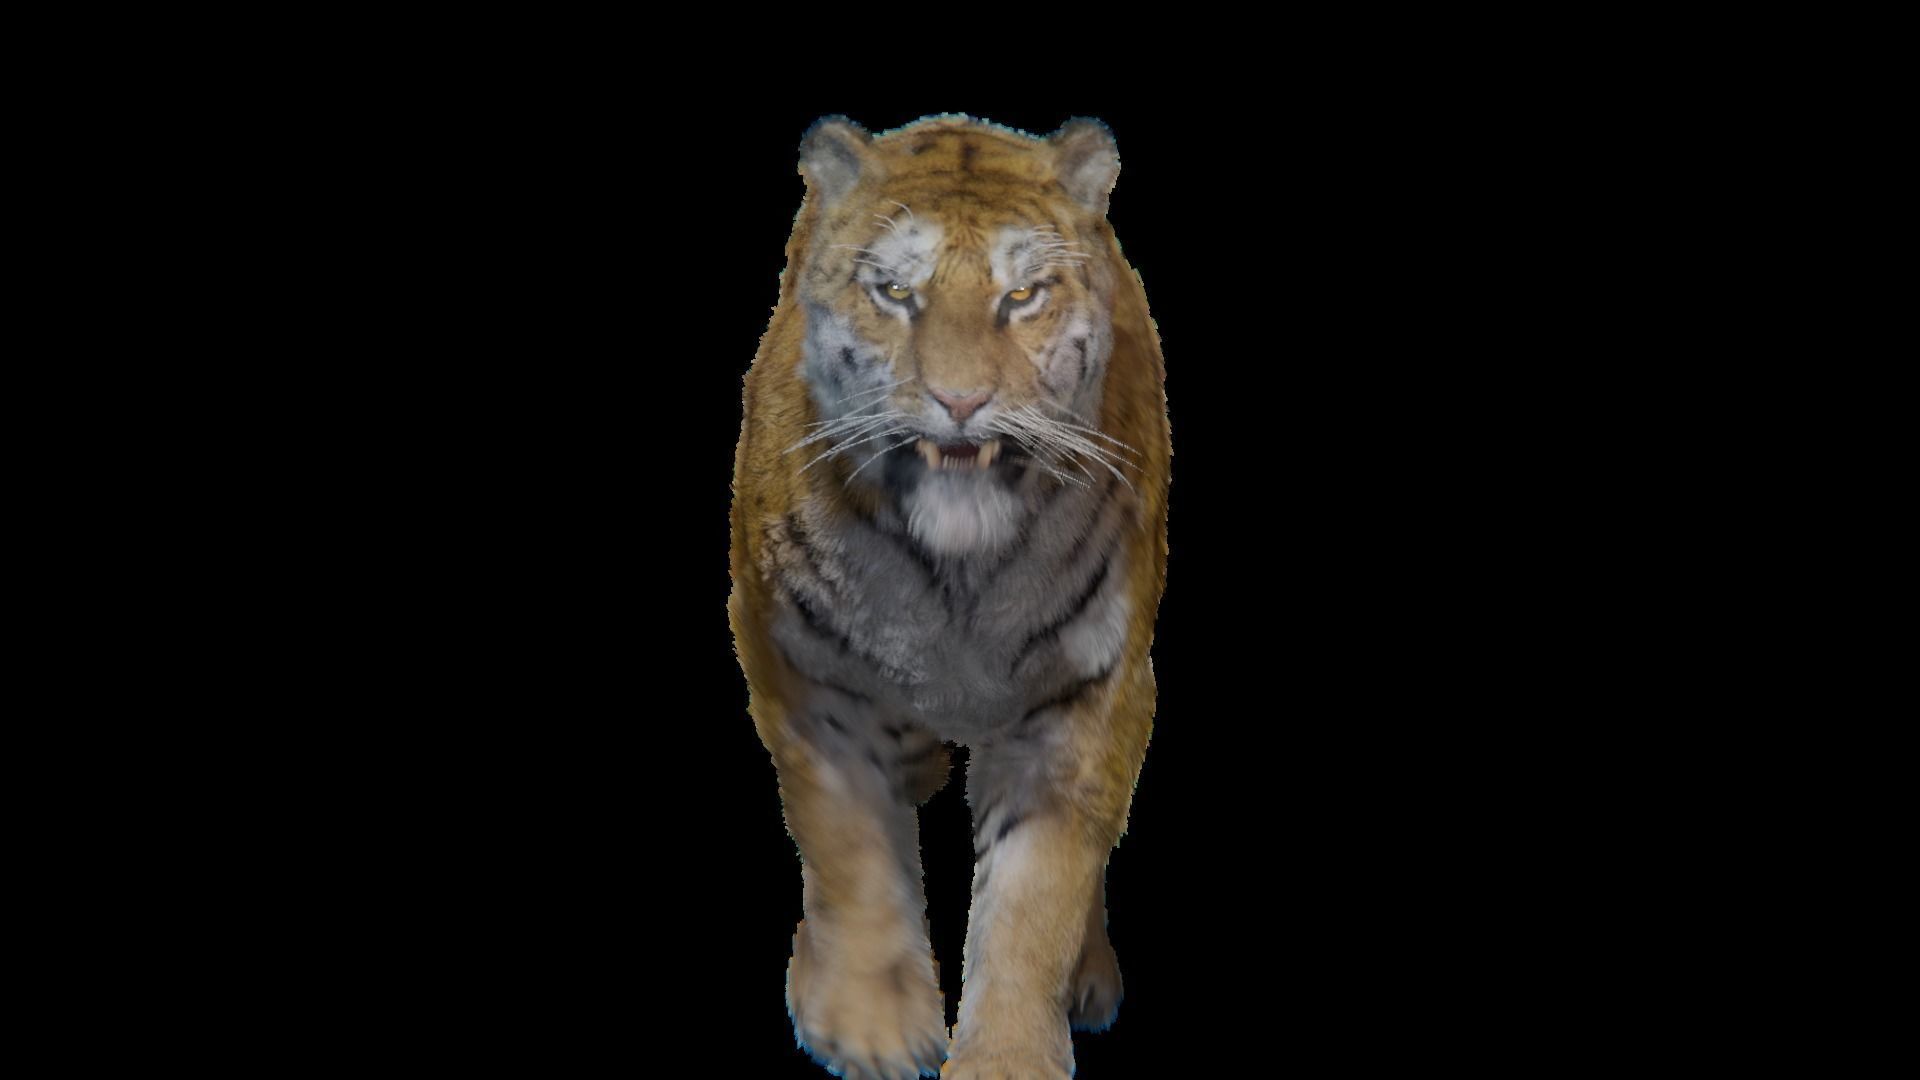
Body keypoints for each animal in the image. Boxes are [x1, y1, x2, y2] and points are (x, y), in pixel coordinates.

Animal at [728, 113, 1170, 1080]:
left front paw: (1006, 1059)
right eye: (896, 292)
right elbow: (848, 843)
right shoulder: (810, 677)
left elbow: (1037, 895)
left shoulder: (1087, 696)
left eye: (1023, 295)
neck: (957, 573)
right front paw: (869, 1027)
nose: (960, 401)